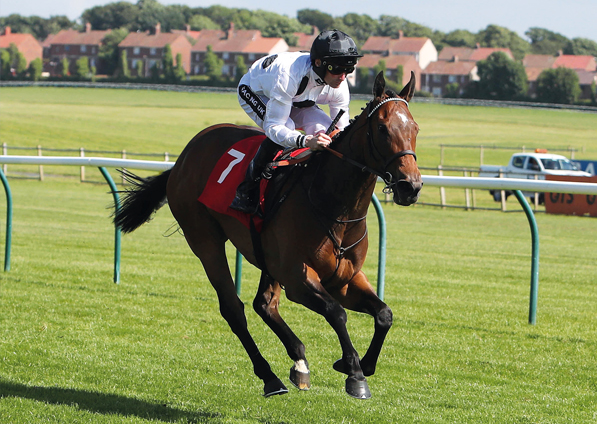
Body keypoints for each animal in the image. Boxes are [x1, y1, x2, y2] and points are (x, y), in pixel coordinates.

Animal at [112, 71, 420, 400]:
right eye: (382, 129)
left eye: (415, 128)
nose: (410, 186)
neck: (333, 205)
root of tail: (184, 156)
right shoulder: (298, 279)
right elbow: (336, 313)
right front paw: (354, 372)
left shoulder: (344, 279)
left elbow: (384, 314)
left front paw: (362, 364)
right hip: (204, 239)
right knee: (233, 309)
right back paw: (270, 377)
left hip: (267, 256)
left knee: (264, 303)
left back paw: (298, 360)